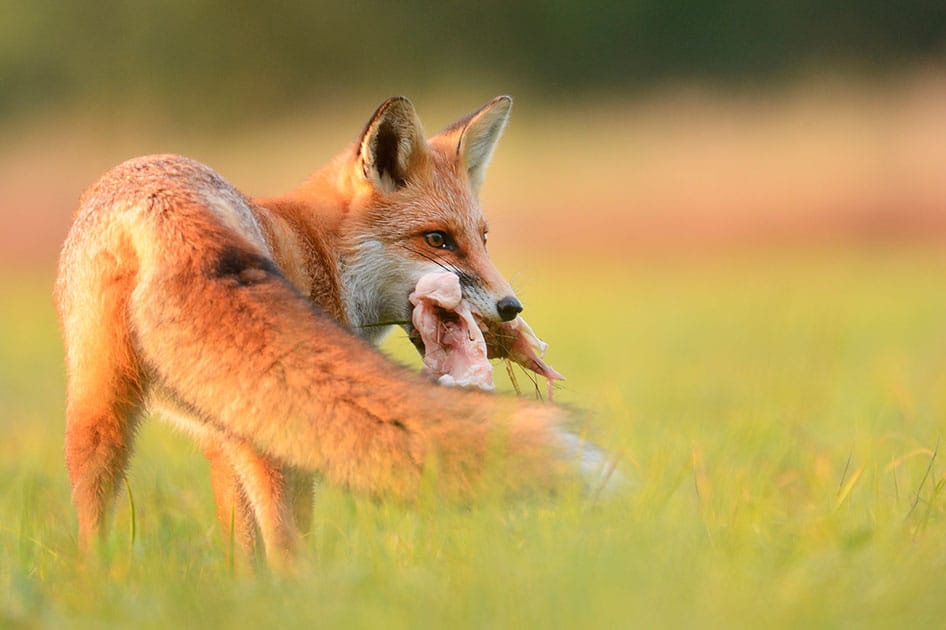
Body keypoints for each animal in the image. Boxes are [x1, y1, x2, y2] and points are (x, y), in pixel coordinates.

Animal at [55, 96, 608, 569]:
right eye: (437, 240)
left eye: (483, 238)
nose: (511, 308)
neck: (322, 251)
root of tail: (162, 202)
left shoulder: (220, 431)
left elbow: (242, 551)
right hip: (269, 432)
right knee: (287, 545)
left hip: (99, 414)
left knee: (91, 521)